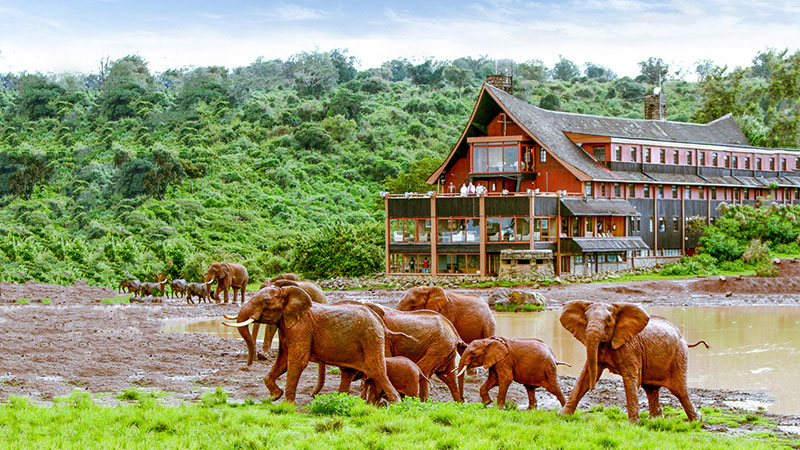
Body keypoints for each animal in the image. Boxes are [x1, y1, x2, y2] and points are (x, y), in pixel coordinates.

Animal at [222, 284, 400, 404]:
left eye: (266, 302)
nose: (248, 365)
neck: (287, 293)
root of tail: (379, 320)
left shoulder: (301, 329)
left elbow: (297, 361)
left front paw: (287, 406)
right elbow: (282, 361)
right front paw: (275, 396)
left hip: (370, 339)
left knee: (377, 371)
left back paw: (396, 403)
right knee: (348, 373)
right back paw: (340, 399)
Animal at [556, 300, 708, 424]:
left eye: (609, 320)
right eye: (585, 319)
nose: (593, 388)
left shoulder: (630, 347)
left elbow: (630, 378)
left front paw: (632, 424)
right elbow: (585, 376)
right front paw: (562, 416)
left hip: (678, 355)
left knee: (680, 390)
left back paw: (697, 421)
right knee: (651, 390)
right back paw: (655, 420)